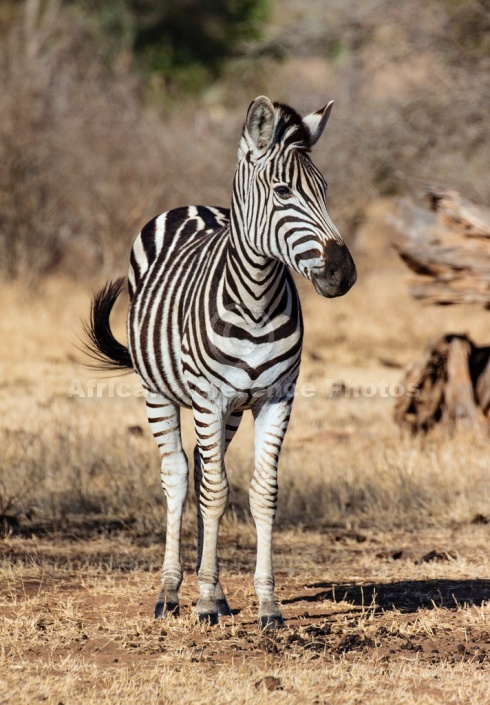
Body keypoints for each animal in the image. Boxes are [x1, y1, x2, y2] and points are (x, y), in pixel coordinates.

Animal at [86, 96, 356, 628]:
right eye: (283, 191)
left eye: (325, 191)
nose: (343, 273)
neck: (255, 301)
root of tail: (190, 207)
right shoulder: (210, 398)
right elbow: (214, 493)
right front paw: (204, 600)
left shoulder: (276, 398)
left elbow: (262, 493)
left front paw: (266, 605)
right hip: (160, 393)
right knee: (177, 475)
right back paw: (172, 592)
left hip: (228, 411)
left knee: (199, 466)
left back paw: (211, 590)